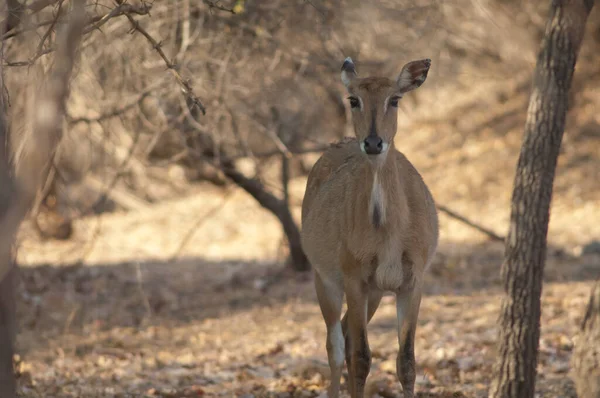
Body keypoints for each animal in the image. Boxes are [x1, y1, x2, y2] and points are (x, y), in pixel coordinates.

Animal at [302, 56, 438, 398]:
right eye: (354, 99)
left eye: (395, 99)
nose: (374, 143)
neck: (389, 231)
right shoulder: (354, 278)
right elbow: (362, 356)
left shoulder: (411, 280)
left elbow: (407, 360)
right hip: (326, 280)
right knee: (337, 346)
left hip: (375, 293)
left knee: (346, 338)